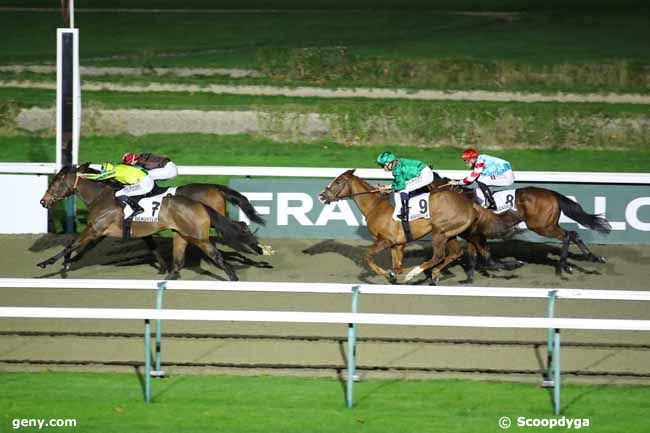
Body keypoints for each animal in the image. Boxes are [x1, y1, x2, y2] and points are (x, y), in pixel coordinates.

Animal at [38, 163, 260, 280]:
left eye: (56, 182)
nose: (43, 201)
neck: (103, 196)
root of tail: (214, 188)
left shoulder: (96, 229)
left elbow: (72, 244)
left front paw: (48, 263)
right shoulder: (104, 231)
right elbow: (79, 246)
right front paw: (67, 264)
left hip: (199, 232)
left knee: (230, 237)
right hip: (186, 232)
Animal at [316, 170, 520, 286]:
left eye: (338, 181)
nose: (321, 196)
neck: (375, 206)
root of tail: (471, 202)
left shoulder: (386, 241)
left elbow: (368, 257)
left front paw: (393, 274)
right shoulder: (398, 244)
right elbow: (397, 267)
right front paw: (394, 274)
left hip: (440, 232)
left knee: (439, 256)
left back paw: (418, 273)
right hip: (451, 234)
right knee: (455, 253)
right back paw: (434, 273)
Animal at [430, 171, 608, 274]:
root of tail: (551, 193)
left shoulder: (475, 234)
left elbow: (482, 255)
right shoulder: (474, 235)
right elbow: (474, 256)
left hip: (541, 226)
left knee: (566, 235)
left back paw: (564, 265)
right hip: (549, 224)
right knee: (573, 233)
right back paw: (593, 258)